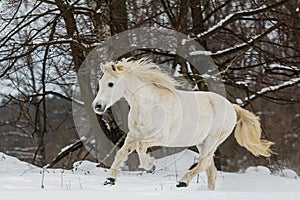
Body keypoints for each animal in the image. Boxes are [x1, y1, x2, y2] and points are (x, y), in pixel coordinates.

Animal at [92, 58, 274, 191]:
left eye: (111, 84)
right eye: (100, 84)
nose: (98, 106)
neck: (149, 105)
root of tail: (232, 107)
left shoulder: (161, 137)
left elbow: (141, 147)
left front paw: (150, 166)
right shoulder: (134, 135)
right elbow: (121, 153)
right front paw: (109, 180)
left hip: (212, 140)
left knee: (203, 164)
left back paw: (182, 182)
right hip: (201, 142)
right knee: (210, 169)